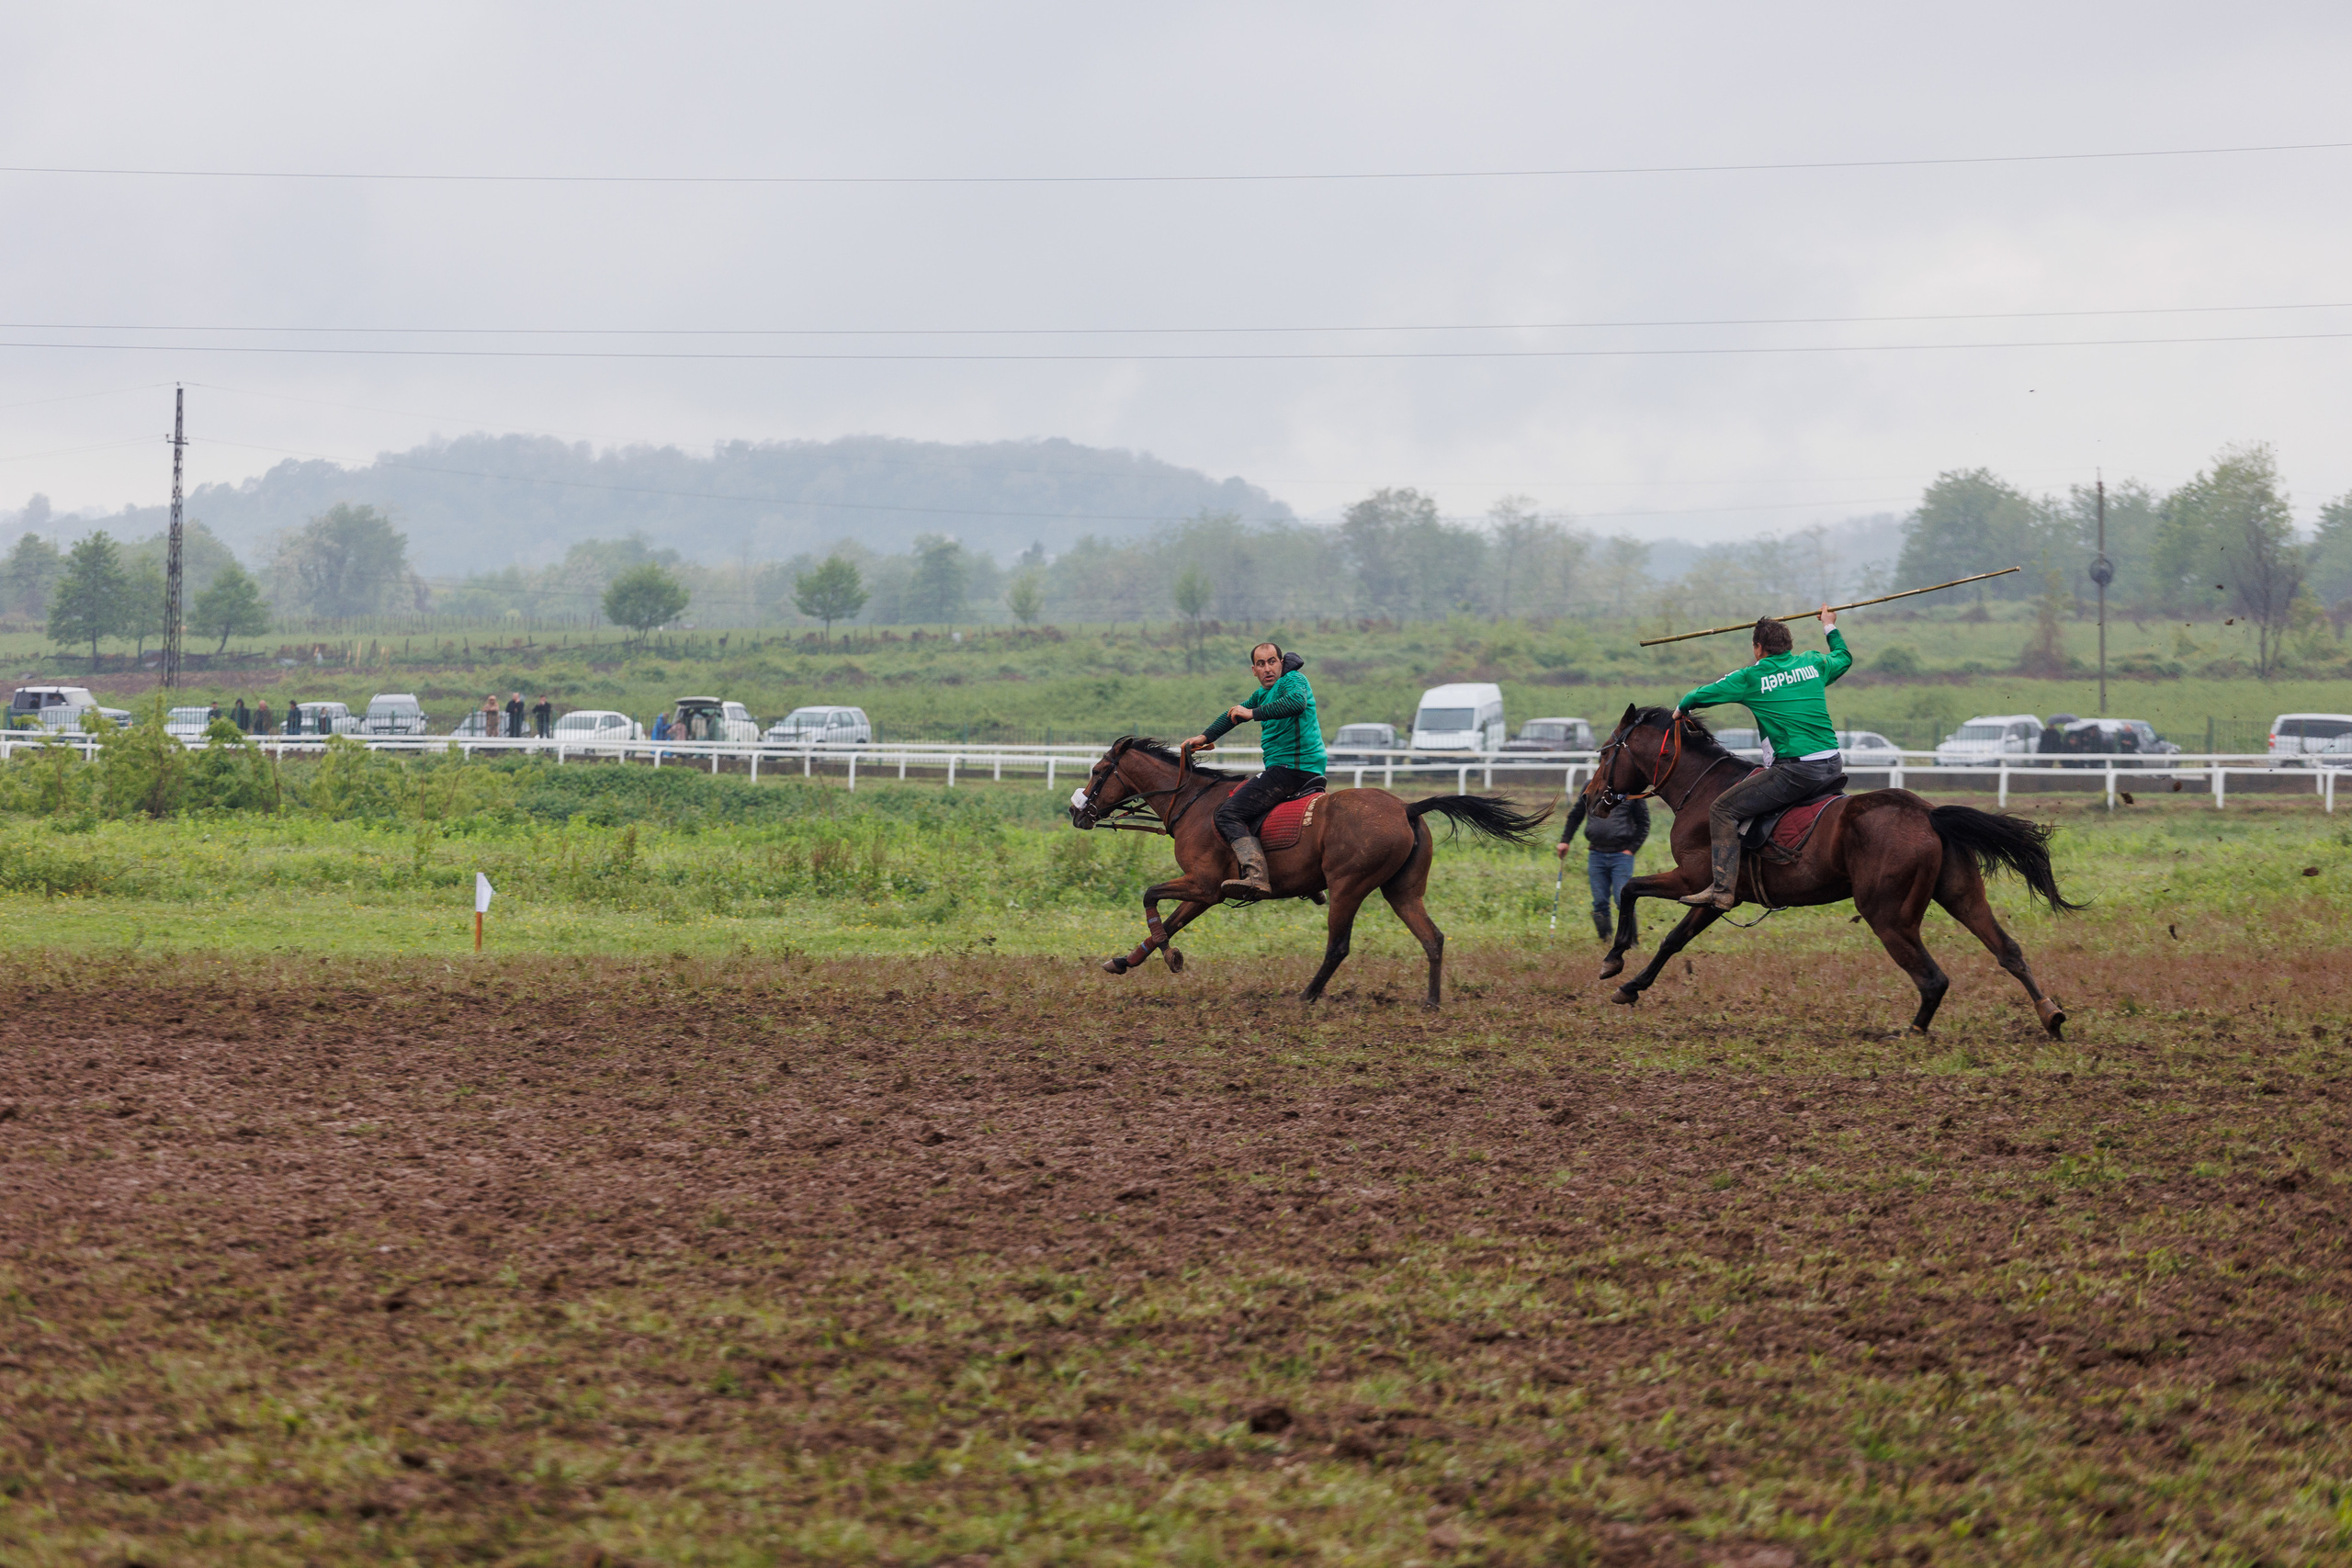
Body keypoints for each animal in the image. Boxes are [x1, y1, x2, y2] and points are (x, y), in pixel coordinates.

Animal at [1069, 737, 1551, 1006]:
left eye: (1097, 770)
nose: (1077, 812)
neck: (1193, 803)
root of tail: (1407, 808)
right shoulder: (1208, 894)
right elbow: (1165, 924)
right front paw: (1125, 960)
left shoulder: (1203, 886)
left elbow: (1150, 898)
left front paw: (1170, 957)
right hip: (1403, 891)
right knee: (1432, 938)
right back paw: (1431, 1002)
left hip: (1348, 887)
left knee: (1338, 946)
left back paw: (1307, 995)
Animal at [1586, 705, 2079, 1037]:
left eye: (1606, 753)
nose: (1592, 798)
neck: (1702, 790)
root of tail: (1927, 813)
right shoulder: (1714, 897)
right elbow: (1673, 940)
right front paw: (1632, 984)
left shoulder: (1697, 883)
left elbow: (1631, 889)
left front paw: (1614, 960)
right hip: (1961, 894)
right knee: (2008, 951)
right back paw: (2049, 1014)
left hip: (1889, 915)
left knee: (1933, 978)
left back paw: (1913, 1032)